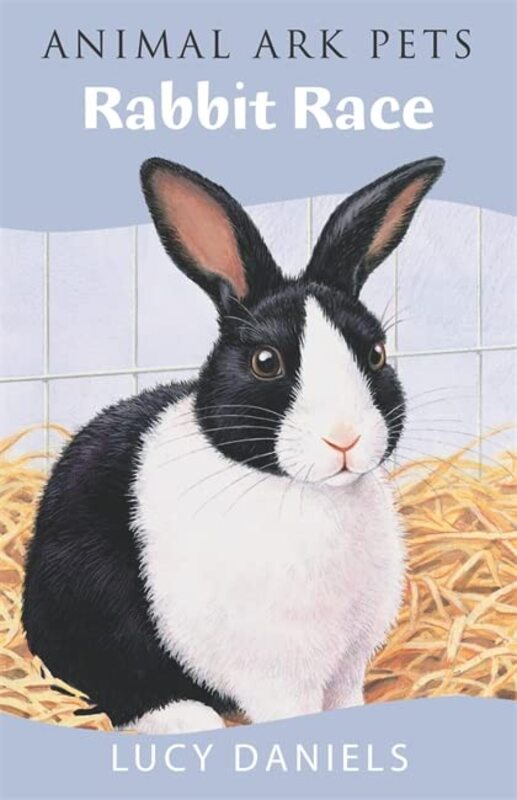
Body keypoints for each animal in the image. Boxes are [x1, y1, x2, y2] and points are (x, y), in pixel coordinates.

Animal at [22, 155, 444, 734]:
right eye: (266, 362)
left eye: (377, 354)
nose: (345, 438)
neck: (310, 493)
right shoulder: (276, 675)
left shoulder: (347, 665)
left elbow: (346, 701)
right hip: (86, 603)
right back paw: (185, 718)